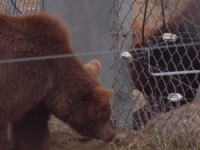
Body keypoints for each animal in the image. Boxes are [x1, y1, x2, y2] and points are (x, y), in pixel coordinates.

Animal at [0, 12, 115, 149]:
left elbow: (30, 128)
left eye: (108, 113)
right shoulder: (20, 79)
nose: (112, 134)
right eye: (105, 115)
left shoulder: (36, 99)